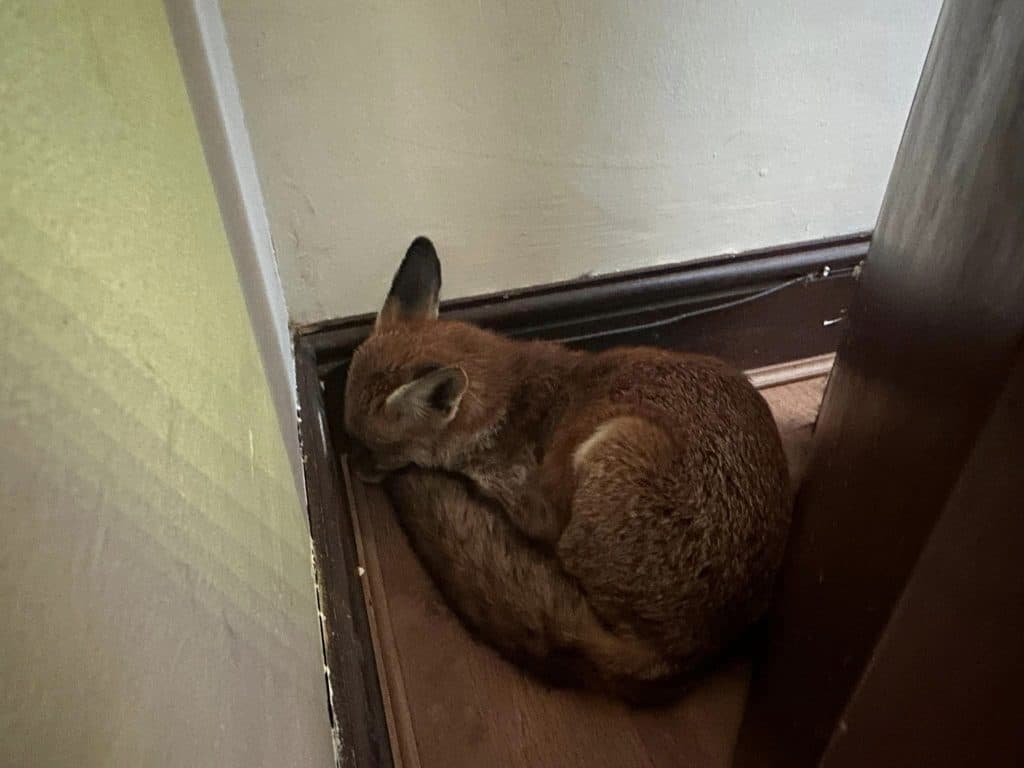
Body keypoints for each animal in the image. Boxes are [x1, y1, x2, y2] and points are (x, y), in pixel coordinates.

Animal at [344, 236, 792, 699]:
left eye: (371, 446)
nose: (350, 464)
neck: (505, 407)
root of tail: (688, 654)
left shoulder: (537, 502)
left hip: (615, 444)